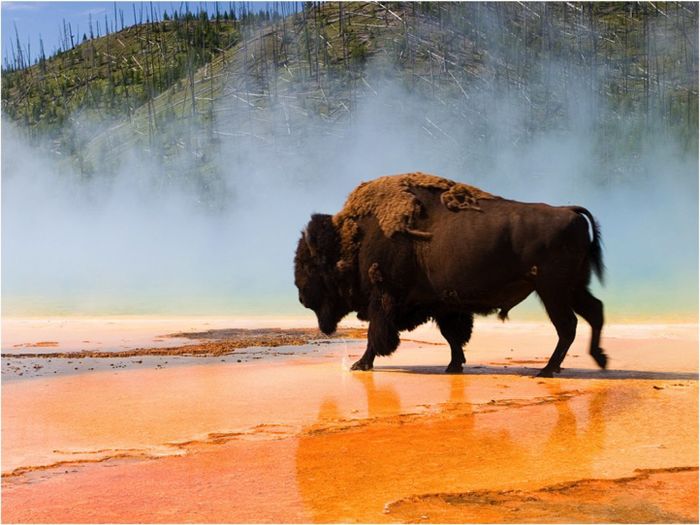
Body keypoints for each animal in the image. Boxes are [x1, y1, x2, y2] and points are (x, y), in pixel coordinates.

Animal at [296, 173, 608, 376]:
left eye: (311, 266)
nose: (301, 296)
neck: (354, 237)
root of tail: (569, 212)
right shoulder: (443, 305)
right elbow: (453, 336)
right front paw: (453, 366)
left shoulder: (384, 300)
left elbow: (377, 334)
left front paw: (360, 364)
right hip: (572, 288)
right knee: (594, 311)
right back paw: (598, 359)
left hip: (552, 290)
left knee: (567, 325)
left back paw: (548, 369)